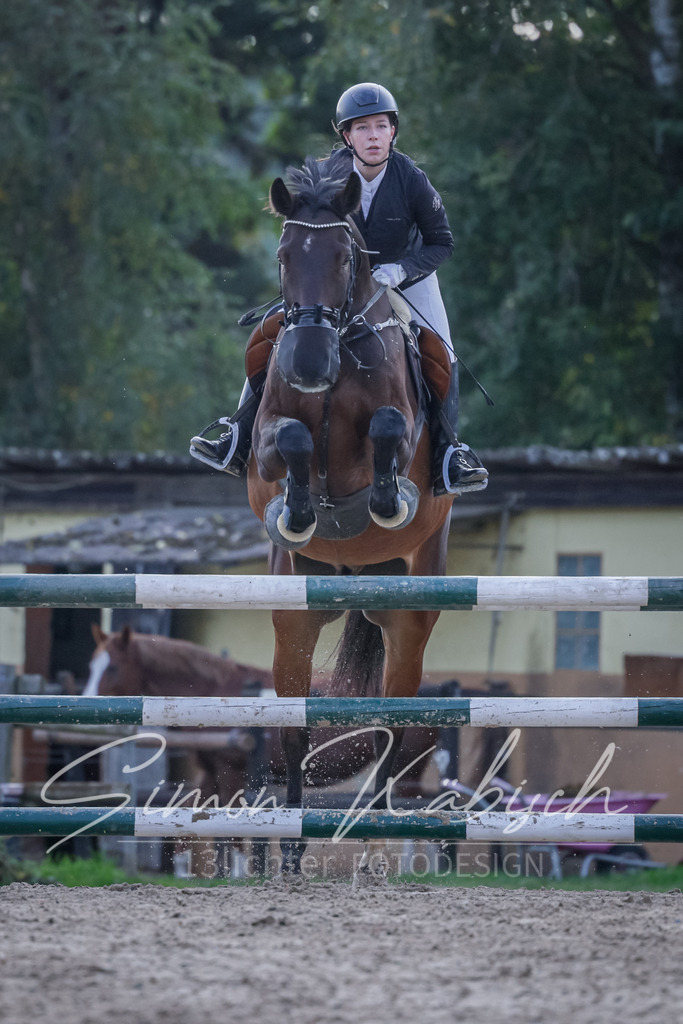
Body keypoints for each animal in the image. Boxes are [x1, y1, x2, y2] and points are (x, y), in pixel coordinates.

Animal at [247, 154, 456, 882]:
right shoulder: (267, 445)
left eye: (345, 257)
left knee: (393, 725)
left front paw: (387, 502)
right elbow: (290, 440)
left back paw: (376, 831)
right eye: (284, 256)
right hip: (294, 617)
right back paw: (290, 845)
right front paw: (300, 510)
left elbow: (390, 430)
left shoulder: (402, 430)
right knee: (294, 730)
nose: (308, 363)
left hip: (409, 619)